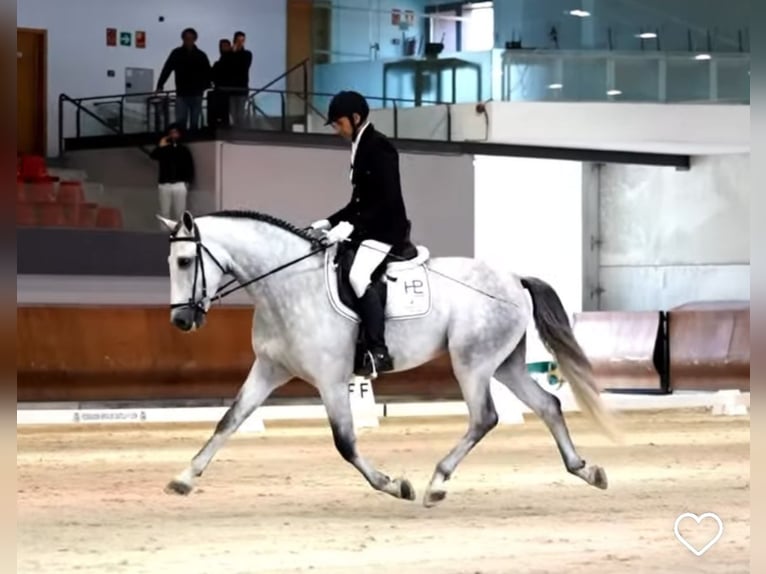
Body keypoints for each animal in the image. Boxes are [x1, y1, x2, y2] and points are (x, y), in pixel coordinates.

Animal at [159, 210, 620, 508]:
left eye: (184, 261)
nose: (181, 320)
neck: (287, 284)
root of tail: (513, 278)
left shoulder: (330, 379)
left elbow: (345, 442)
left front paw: (394, 484)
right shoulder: (270, 369)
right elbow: (230, 420)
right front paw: (183, 478)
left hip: (472, 362)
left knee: (484, 417)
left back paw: (437, 483)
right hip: (503, 363)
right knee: (548, 405)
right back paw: (585, 469)